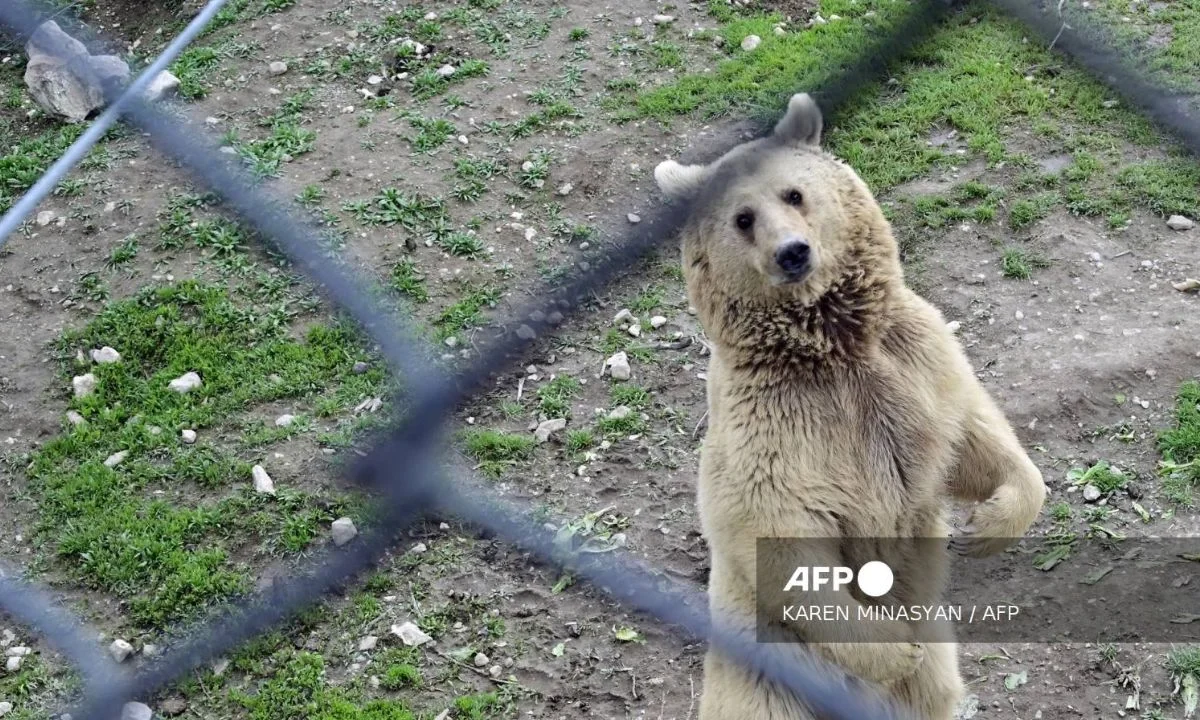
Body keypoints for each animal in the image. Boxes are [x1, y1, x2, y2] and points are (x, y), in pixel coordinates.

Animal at [652, 92, 1047, 720]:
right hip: (767, 676)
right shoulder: (777, 426)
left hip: (930, 680)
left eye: (794, 193)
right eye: (743, 218)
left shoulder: (916, 364)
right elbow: (779, 534)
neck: (831, 346)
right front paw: (895, 648)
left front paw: (986, 524)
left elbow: (976, 440)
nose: (792, 252)